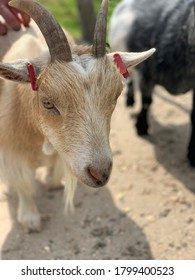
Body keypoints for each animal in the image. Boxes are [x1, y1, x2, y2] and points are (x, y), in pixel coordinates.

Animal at [0, 0, 155, 232]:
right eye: (47, 103)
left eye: (116, 95)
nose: (100, 173)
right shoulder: (11, 151)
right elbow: (23, 184)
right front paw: (30, 218)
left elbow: (54, 171)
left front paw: (53, 183)